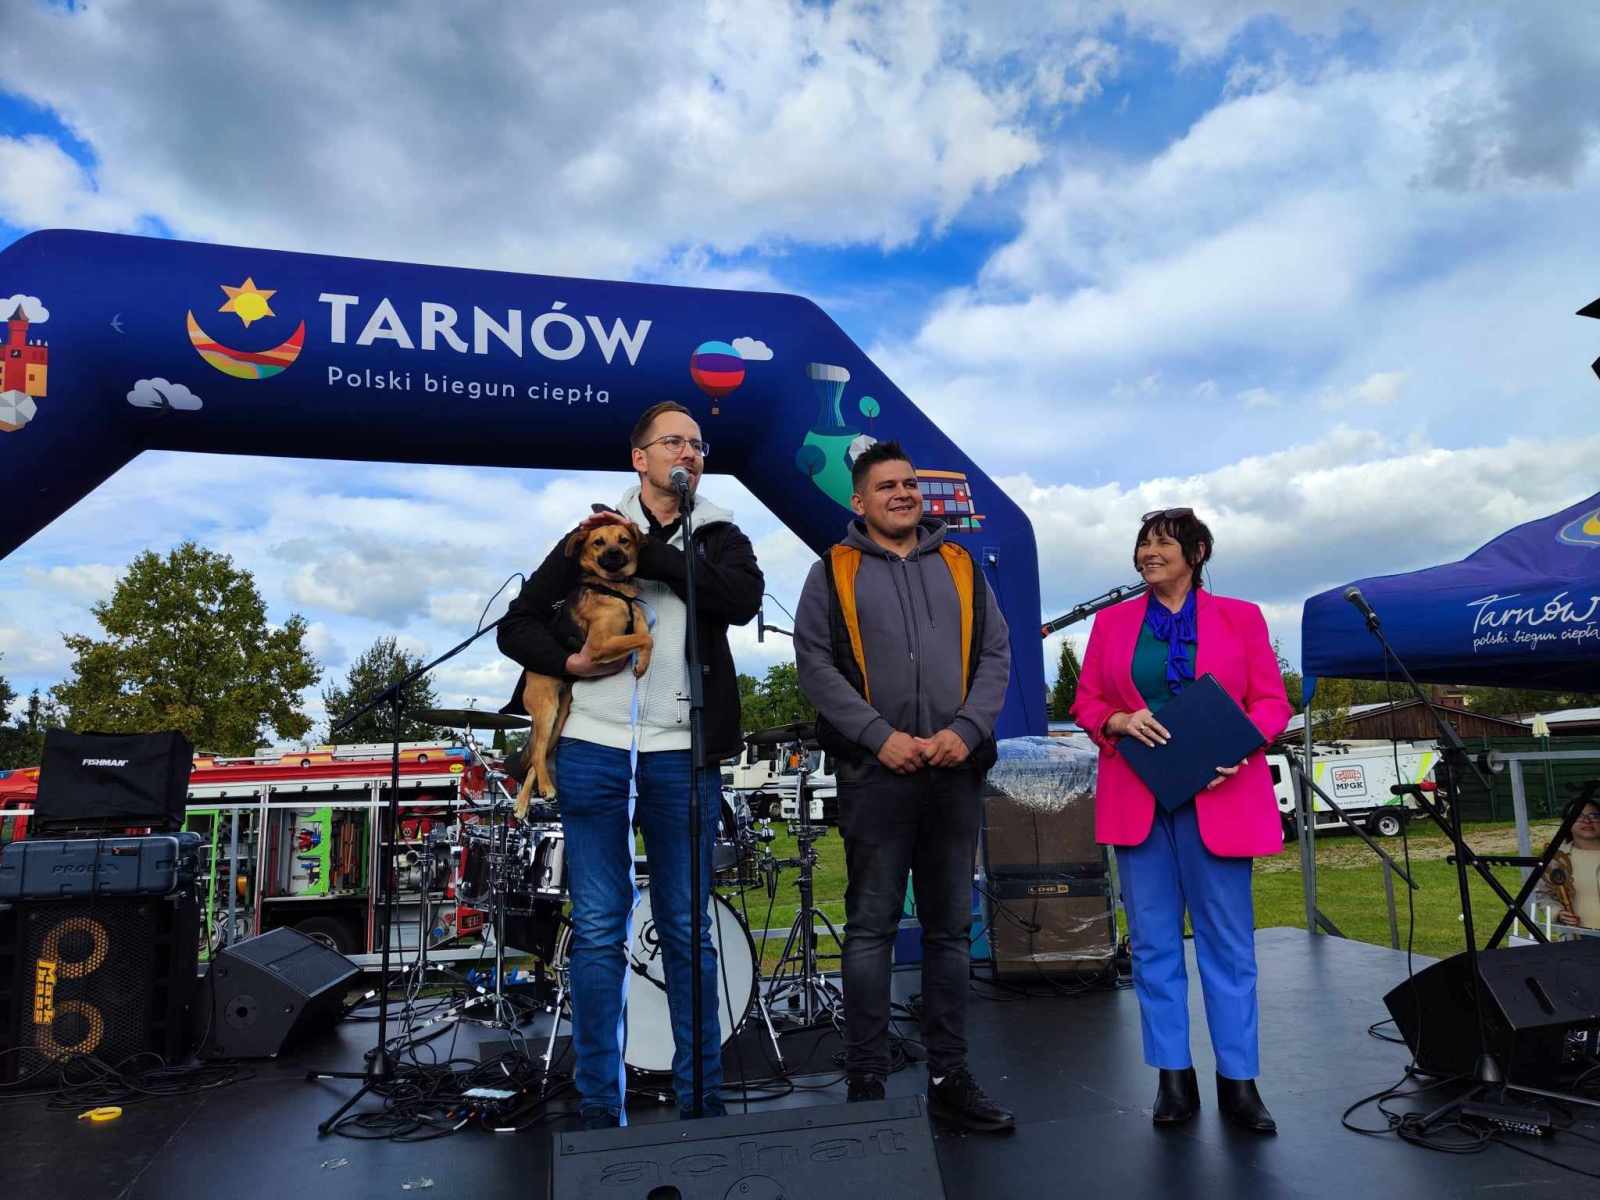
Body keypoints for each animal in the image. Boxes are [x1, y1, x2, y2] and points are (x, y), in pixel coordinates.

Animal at [515, 513, 653, 816]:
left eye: (624, 540)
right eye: (598, 542)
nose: (613, 554)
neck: (613, 589)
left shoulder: (635, 617)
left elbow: (644, 635)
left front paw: (642, 665)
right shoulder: (600, 644)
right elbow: (644, 638)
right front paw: (642, 663)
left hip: (560, 718)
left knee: (536, 760)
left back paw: (524, 801)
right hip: (546, 710)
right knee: (538, 754)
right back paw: (546, 788)